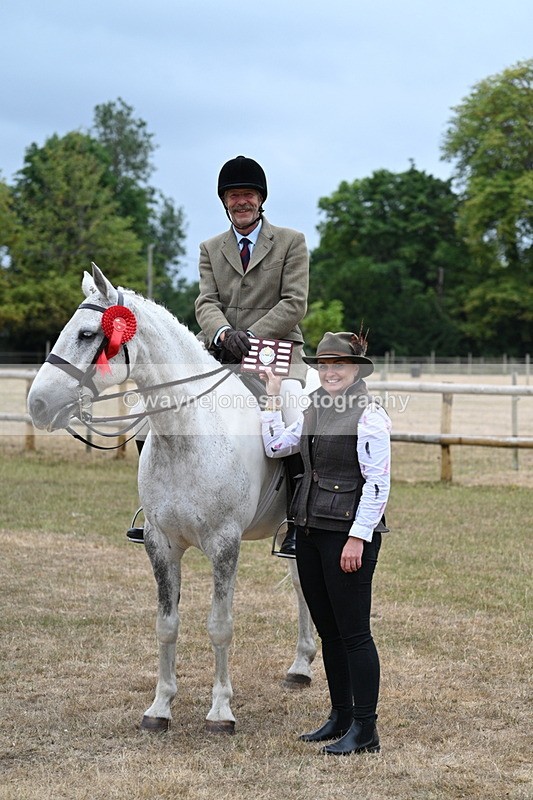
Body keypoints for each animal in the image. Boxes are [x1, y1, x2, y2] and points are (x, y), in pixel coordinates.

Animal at [27, 264, 317, 734]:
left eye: (88, 334)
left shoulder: (224, 545)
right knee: (300, 582)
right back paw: (300, 667)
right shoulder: (159, 543)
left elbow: (219, 625)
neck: (189, 431)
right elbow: (166, 624)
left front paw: (220, 711)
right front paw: (160, 707)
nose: (37, 404)